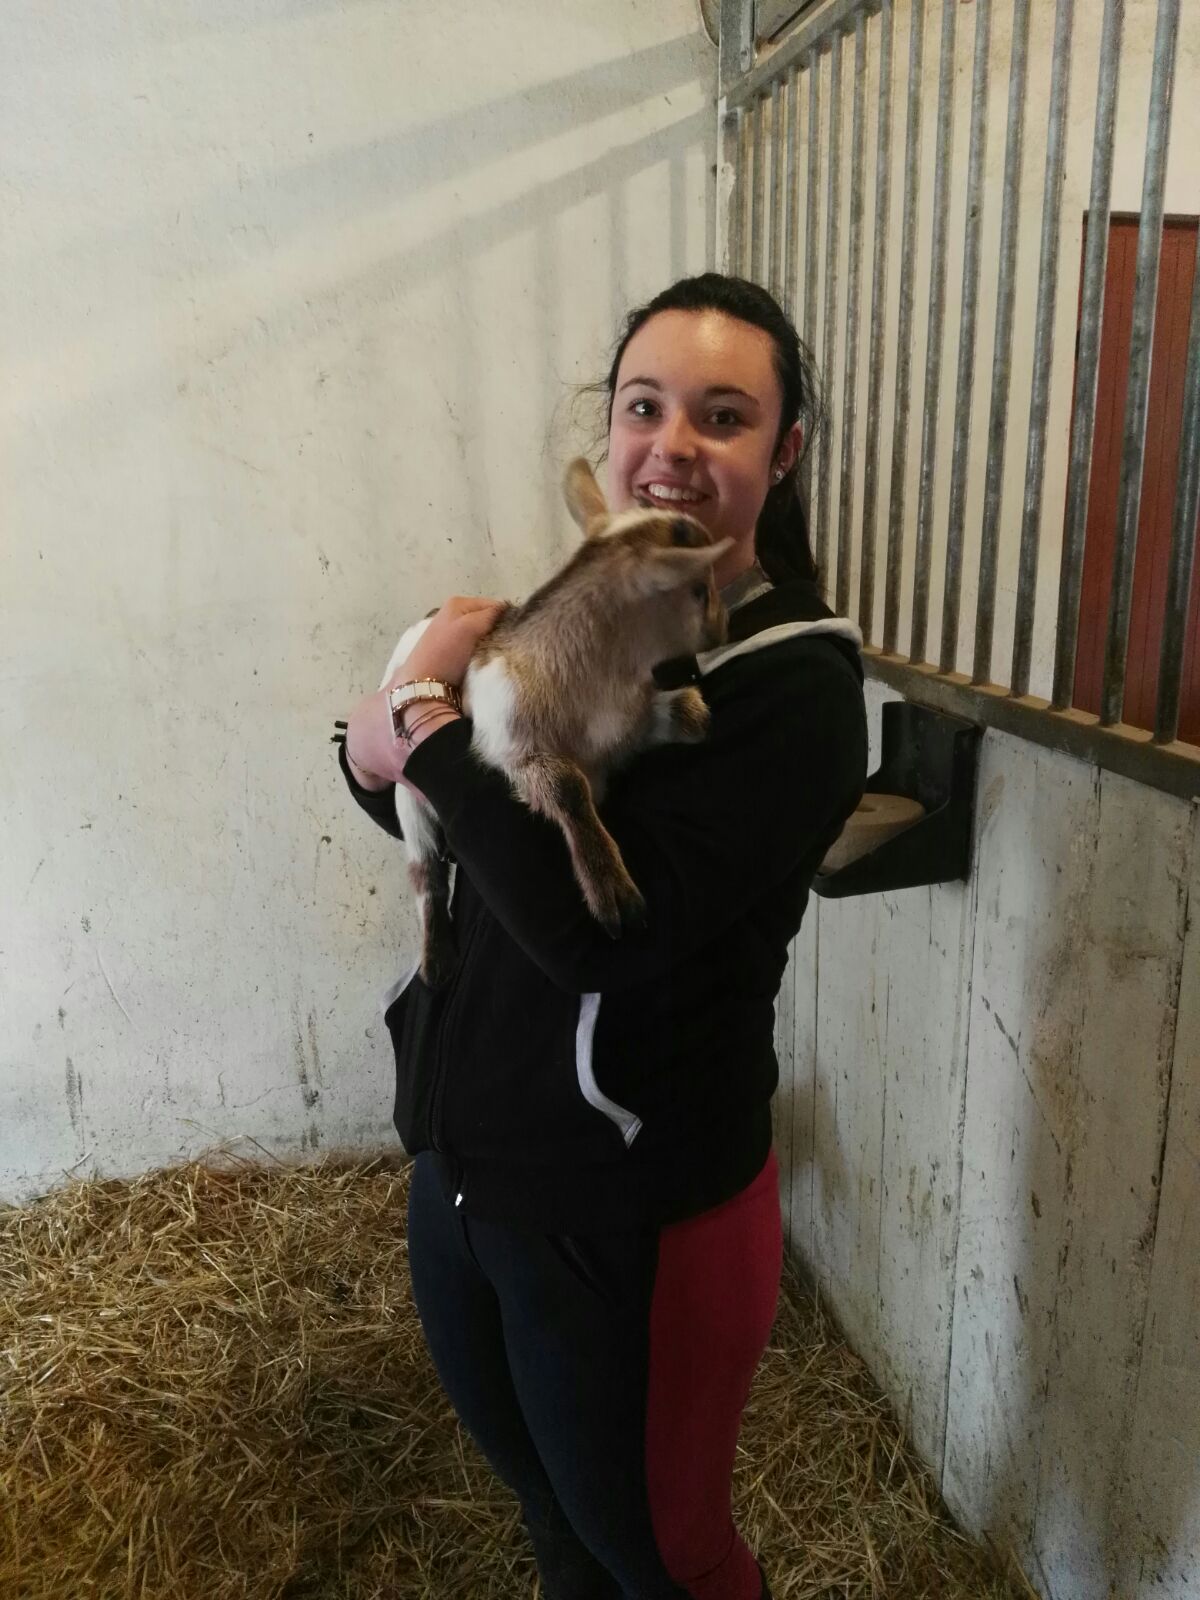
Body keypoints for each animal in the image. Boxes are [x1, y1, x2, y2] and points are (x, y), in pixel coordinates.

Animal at [382, 457, 731, 987]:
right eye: (698, 588)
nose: (724, 626)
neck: (594, 688)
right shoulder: (510, 747)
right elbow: (567, 787)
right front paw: (612, 892)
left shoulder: (627, 724)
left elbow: (680, 718)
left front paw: (698, 714)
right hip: (409, 798)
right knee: (426, 875)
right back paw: (437, 961)